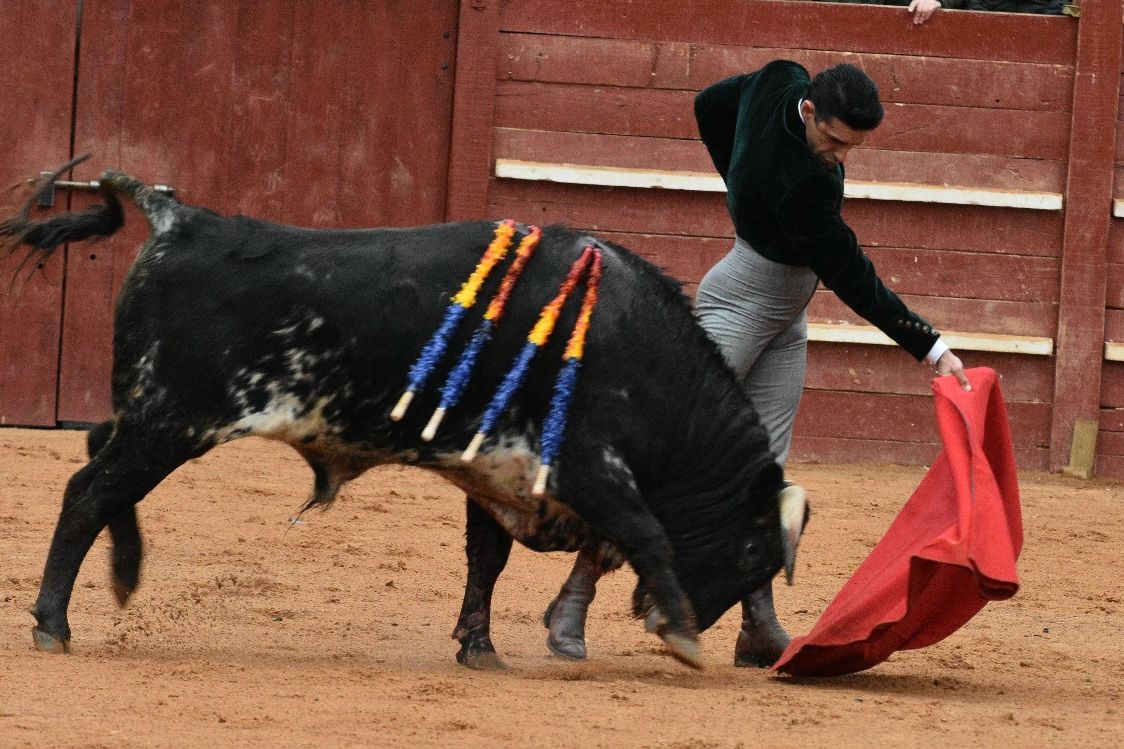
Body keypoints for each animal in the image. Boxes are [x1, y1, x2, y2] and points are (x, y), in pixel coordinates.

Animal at [4, 166, 804, 665]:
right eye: (749, 552)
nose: (669, 617)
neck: (638, 351)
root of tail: (178, 216)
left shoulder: (495, 467)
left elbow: (487, 558)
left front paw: (479, 649)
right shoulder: (588, 464)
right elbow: (646, 532)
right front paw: (686, 640)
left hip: (150, 414)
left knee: (98, 461)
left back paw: (124, 574)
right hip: (172, 420)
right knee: (90, 490)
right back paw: (54, 623)